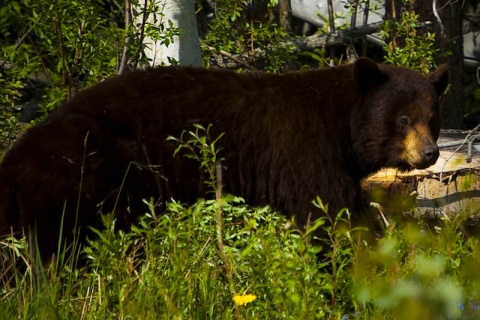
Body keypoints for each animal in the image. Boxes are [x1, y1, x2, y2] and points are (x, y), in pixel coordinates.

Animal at [0, 58, 448, 260]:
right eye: (403, 119)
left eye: (432, 119)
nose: (430, 153)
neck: (339, 123)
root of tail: (11, 162)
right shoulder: (304, 151)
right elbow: (328, 212)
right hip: (83, 185)